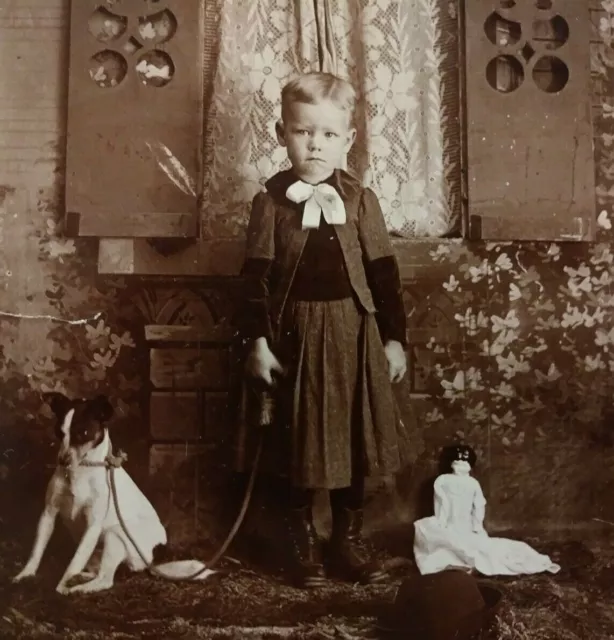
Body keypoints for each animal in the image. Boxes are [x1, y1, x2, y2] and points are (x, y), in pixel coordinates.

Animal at [13, 390, 218, 596]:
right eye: (59, 432)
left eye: (84, 433)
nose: (62, 460)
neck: (80, 472)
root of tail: (155, 559)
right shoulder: (48, 513)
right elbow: (37, 551)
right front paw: (25, 575)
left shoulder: (93, 525)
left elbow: (74, 561)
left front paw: (61, 588)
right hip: (98, 551)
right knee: (99, 572)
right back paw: (79, 579)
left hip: (116, 535)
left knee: (105, 580)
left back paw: (77, 588)